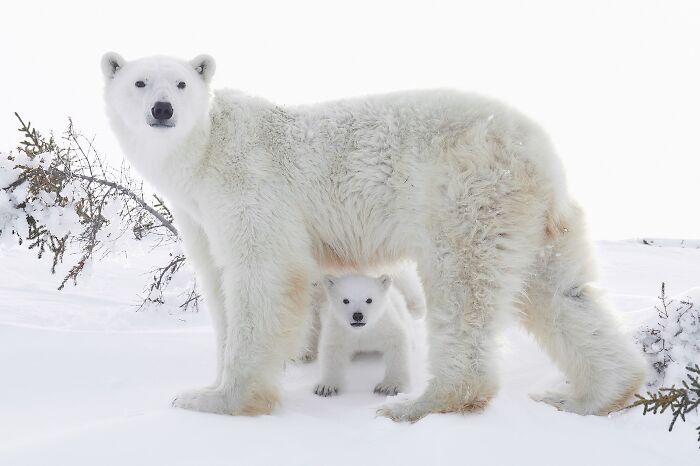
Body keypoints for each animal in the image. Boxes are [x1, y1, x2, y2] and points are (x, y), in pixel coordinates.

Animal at [100, 52, 645, 422]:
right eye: (138, 81)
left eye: (182, 82)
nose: (163, 109)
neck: (205, 151)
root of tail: (538, 147)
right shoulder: (197, 214)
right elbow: (217, 286)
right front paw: (207, 386)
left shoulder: (249, 184)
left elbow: (265, 274)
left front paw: (215, 400)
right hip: (531, 214)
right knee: (561, 291)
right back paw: (589, 395)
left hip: (463, 192)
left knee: (462, 285)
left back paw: (420, 403)